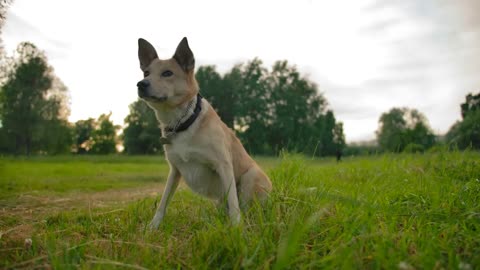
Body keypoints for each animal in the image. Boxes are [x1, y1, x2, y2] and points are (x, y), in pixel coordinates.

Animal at [137, 37, 272, 229]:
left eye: (167, 73)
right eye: (146, 73)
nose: (141, 84)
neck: (183, 121)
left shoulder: (224, 166)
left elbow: (234, 204)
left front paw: (237, 229)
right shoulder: (175, 170)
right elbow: (163, 202)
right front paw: (153, 228)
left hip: (251, 176)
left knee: (246, 209)